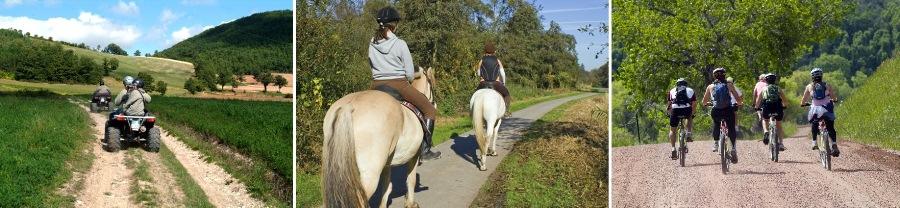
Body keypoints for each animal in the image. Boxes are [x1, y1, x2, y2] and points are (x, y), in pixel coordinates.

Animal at [322, 67, 438, 208]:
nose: (435, 104)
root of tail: (348, 107)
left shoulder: (387, 164)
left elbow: (386, 188)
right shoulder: (414, 156)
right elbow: (411, 180)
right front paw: (410, 203)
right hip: (370, 174)